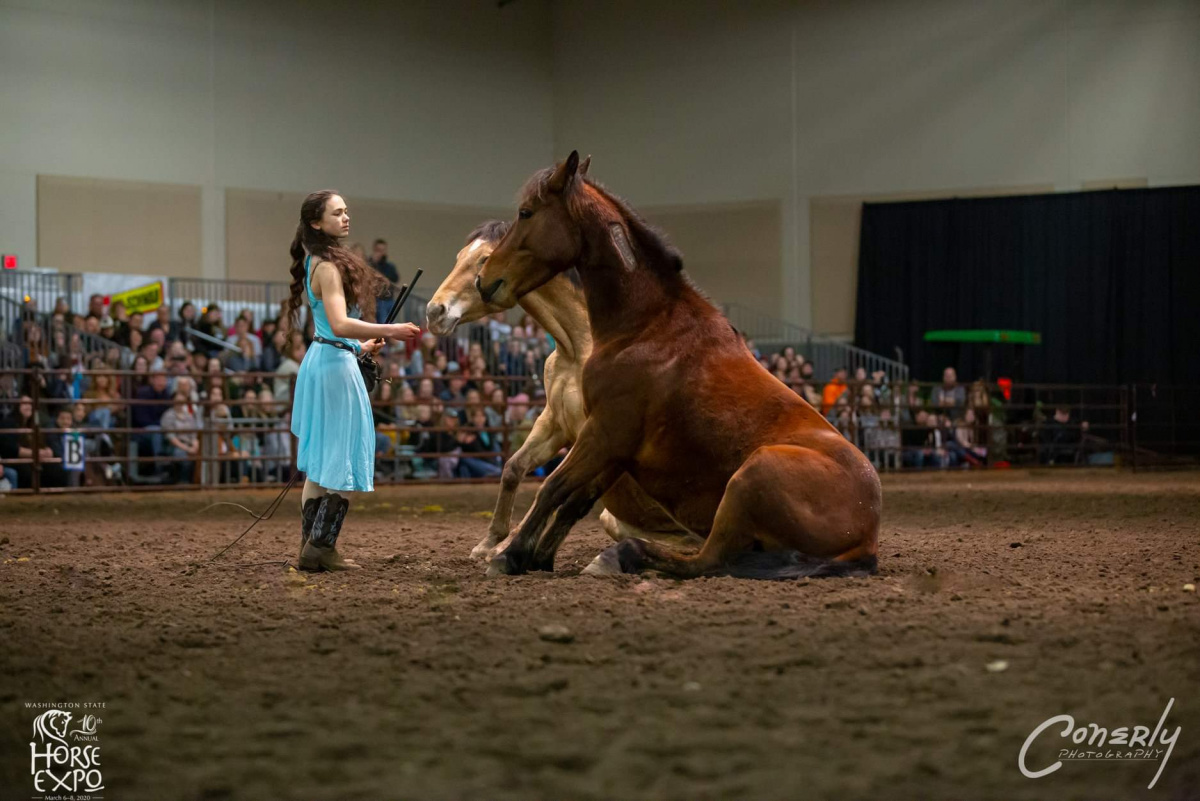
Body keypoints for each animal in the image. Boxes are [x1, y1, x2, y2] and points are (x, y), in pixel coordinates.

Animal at [427, 208, 700, 563]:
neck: (578, 349)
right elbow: (514, 468)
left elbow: (558, 487)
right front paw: (490, 542)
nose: (435, 311)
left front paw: (505, 546)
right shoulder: (554, 421)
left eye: (485, 258)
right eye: (461, 257)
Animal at [475, 151, 883, 575]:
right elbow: (575, 499)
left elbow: (554, 488)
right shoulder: (613, 449)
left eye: (526, 212)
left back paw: (619, 555)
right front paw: (534, 557)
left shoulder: (603, 433)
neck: (647, 327)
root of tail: (866, 536)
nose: (485, 280)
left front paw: (507, 556)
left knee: (707, 559)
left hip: (748, 480)